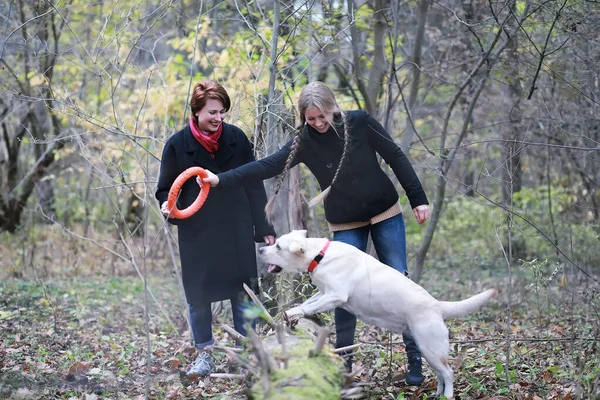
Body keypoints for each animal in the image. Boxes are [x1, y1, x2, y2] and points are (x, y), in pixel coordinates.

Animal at [258, 230, 496, 398]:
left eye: (278, 246)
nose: (260, 250)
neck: (319, 255)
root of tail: (437, 305)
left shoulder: (336, 295)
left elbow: (306, 306)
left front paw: (291, 313)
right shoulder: (323, 293)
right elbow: (307, 302)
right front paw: (286, 315)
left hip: (430, 346)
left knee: (448, 373)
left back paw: (447, 395)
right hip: (428, 349)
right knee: (440, 373)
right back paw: (437, 393)